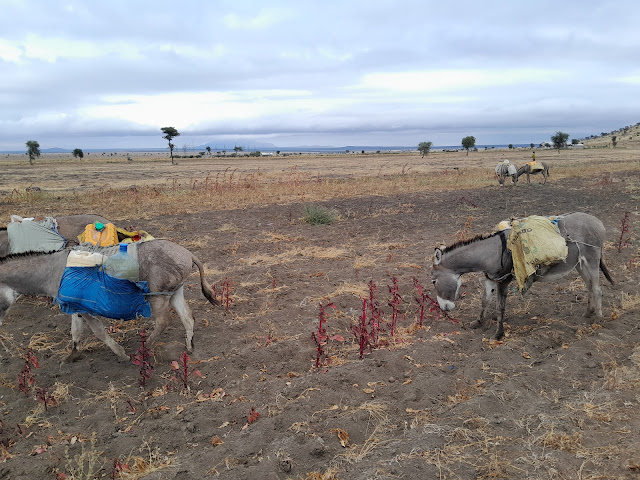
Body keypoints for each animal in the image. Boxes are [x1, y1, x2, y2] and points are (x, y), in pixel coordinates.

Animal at [0, 239, 219, 362]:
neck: (52, 271)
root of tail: (188, 253)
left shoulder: (84, 309)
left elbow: (98, 332)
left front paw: (121, 354)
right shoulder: (75, 307)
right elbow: (75, 333)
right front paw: (70, 357)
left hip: (158, 296)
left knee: (164, 321)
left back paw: (143, 349)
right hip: (174, 293)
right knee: (187, 318)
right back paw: (189, 347)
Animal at [431, 212, 613, 339]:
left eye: (433, 281)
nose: (444, 309)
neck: (491, 252)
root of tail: (598, 221)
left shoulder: (503, 282)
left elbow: (500, 307)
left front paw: (498, 334)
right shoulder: (490, 280)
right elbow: (484, 301)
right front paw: (478, 322)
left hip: (592, 258)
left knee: (597, 289)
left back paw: (599, 320)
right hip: (579, 264)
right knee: (590, 286)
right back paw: (588, 314)